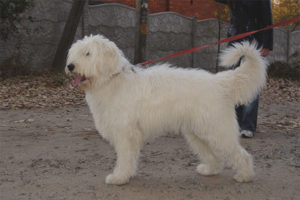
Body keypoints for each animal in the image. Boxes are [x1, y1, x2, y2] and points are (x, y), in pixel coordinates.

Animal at [65, 34, 268, 186]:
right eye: (75, 53)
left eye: (88, 53)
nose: (70, 66)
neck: (111, 80)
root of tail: (220, 82)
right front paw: (125, 175)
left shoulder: (126, 134)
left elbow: (124, 158)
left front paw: (119, 177)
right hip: (198, 133)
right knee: (214, 156)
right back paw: (210, 169)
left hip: (217, 130)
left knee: (241, 154)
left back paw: (245, 175)